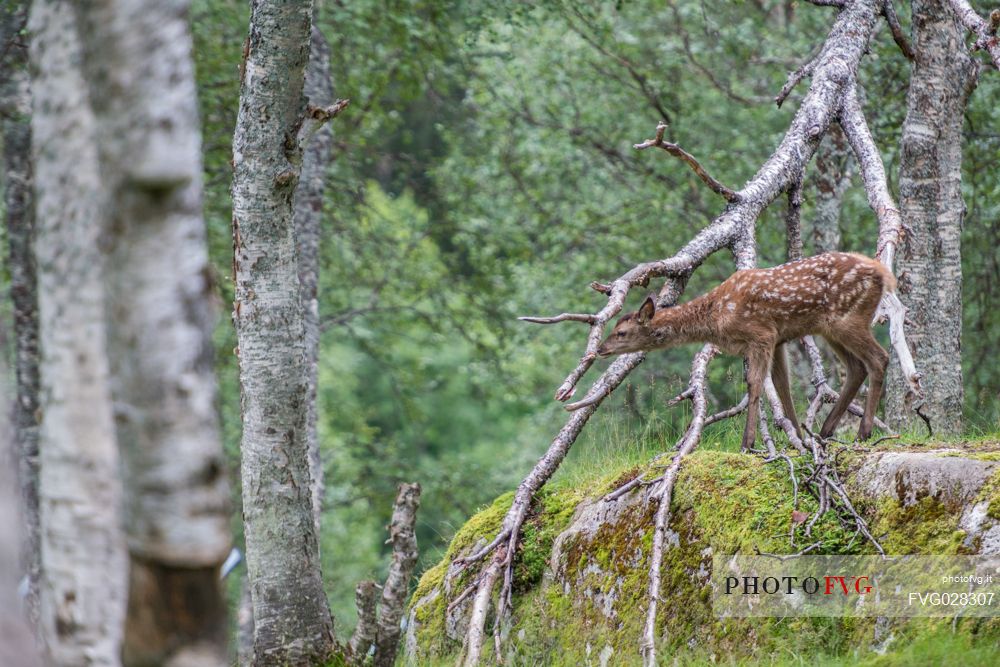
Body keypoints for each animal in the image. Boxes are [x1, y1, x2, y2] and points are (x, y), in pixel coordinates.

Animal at [596, 253, 896, 452]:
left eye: (621, 332)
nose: (600, 349)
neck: (716, 319)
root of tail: (883, 273)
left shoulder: (761, 335)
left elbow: (754, 384)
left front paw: (748, 442)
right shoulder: (778, 339)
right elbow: (782, 385)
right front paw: (797, 437)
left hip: (849, 319)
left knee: (879, 358)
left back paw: (863, 432)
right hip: (830, 328)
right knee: (857, 367)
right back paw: (825, 431)